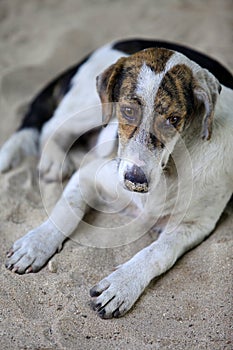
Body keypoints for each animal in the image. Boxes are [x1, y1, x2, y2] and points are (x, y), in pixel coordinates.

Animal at [1, 38, 233, 318]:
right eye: (127, 111)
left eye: (174, 119)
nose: (136, 180)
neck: (170, 168)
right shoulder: (89, 174)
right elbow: (65, 211)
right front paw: (37, 243)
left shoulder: (196, 224)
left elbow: (158, 252)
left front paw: (123, 285)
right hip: (88, 109)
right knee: (51, 127)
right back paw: (55, 160)